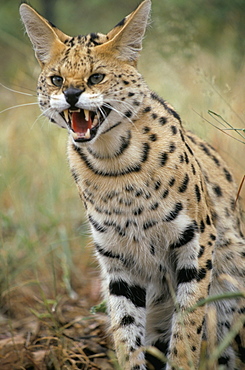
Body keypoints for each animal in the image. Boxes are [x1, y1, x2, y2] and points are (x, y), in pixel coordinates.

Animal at [20, 1, 244, 368]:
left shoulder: (196, 242)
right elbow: (125, 332)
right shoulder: (117, 257)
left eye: (96, 77)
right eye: (56, 79)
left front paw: (180, 358)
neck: (113, 163)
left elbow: (187, 327)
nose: (70, 94)